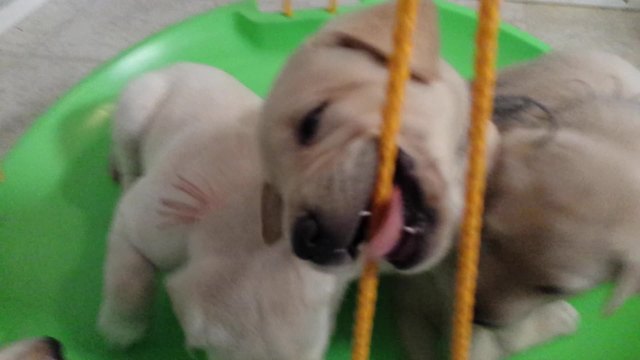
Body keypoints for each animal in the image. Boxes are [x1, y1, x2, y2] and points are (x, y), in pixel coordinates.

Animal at [100, 64, 350, 360]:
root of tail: (171, 66)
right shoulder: (142, 222)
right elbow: (129, 277)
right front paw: (122, 327)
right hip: (135, 108)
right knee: (127, 158)